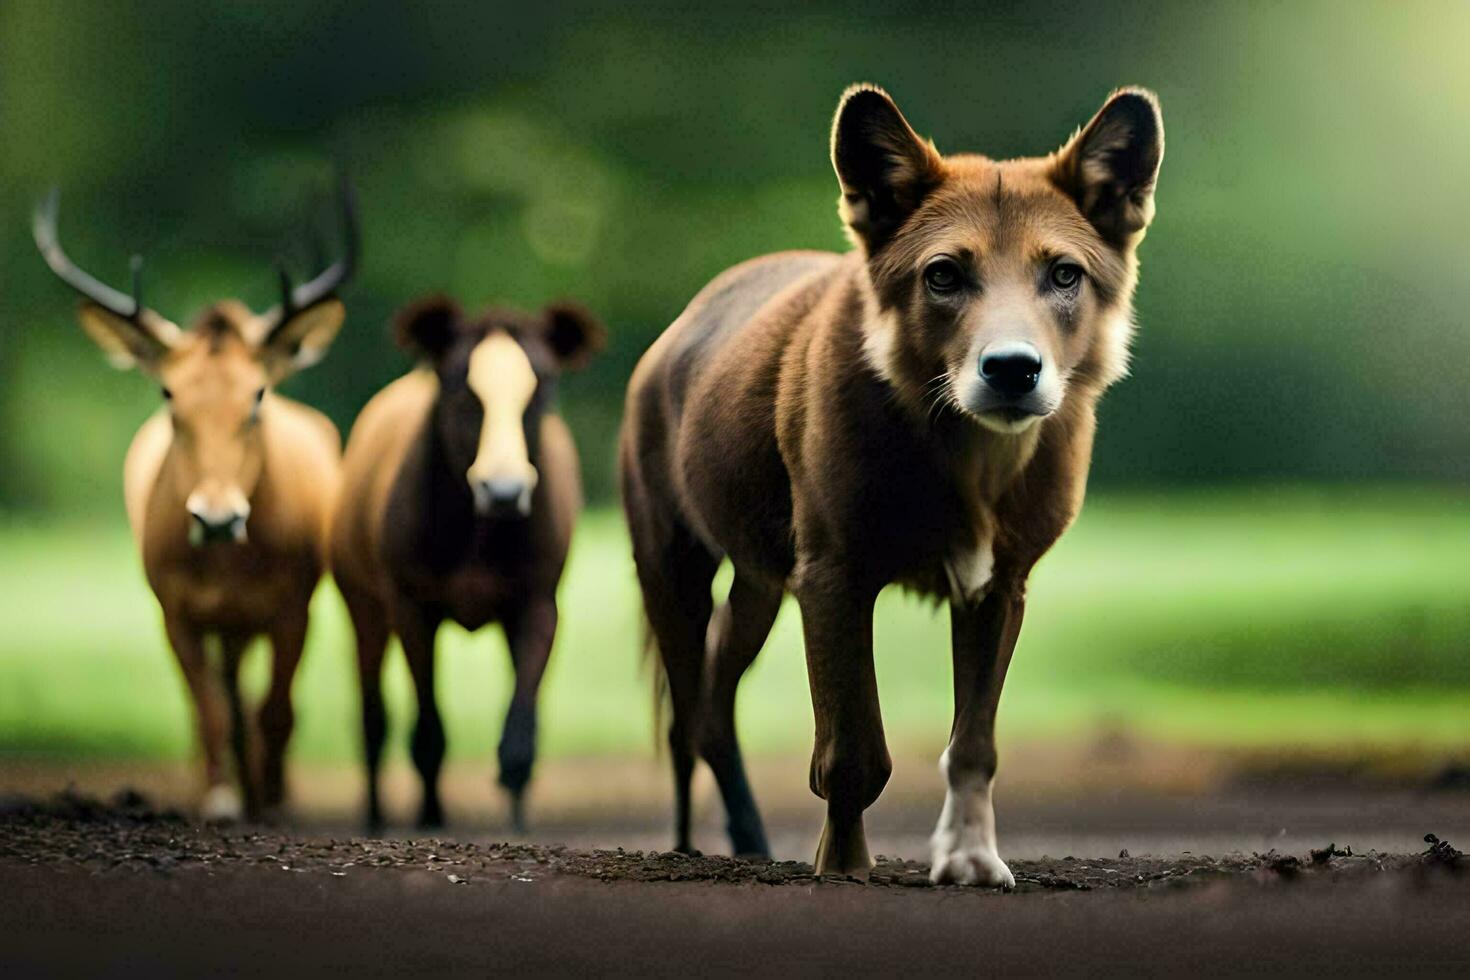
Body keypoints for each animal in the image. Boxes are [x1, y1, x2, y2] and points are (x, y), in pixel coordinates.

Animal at [33, 182, 358, 822]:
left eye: (257, 394)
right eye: (168, 393)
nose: (216, 516)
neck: (229, 567)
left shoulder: (295, 605)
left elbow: (277, 709)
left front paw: (271, 797)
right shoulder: (174, 609)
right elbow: (208, 712)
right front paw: (222, 798)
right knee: (215, 701)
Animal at [332, 295, 602, 834]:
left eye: (542, 387)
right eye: (461, 389)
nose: (504, 491)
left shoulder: (538, 603)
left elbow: (520, 736)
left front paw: (517, 824)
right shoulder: (411, 607)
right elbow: (427, 732)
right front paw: (429, 819)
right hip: (363, 604)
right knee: (373, 719)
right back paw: (375, 817)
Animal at [617, 82, 1158, 881]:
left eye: (1064, 274)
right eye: (943, 275)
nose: (1012, 369)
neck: (967, 453)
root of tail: (680, 326)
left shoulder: (999, 587)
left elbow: (974, 745)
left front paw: (970, 859)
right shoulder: (834, 579)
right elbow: (853, 756)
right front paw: (843, 865)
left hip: (759, 582)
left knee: (713, 708)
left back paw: (747, 839)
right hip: (672, 567)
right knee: (685, 719)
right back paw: (689, 847)